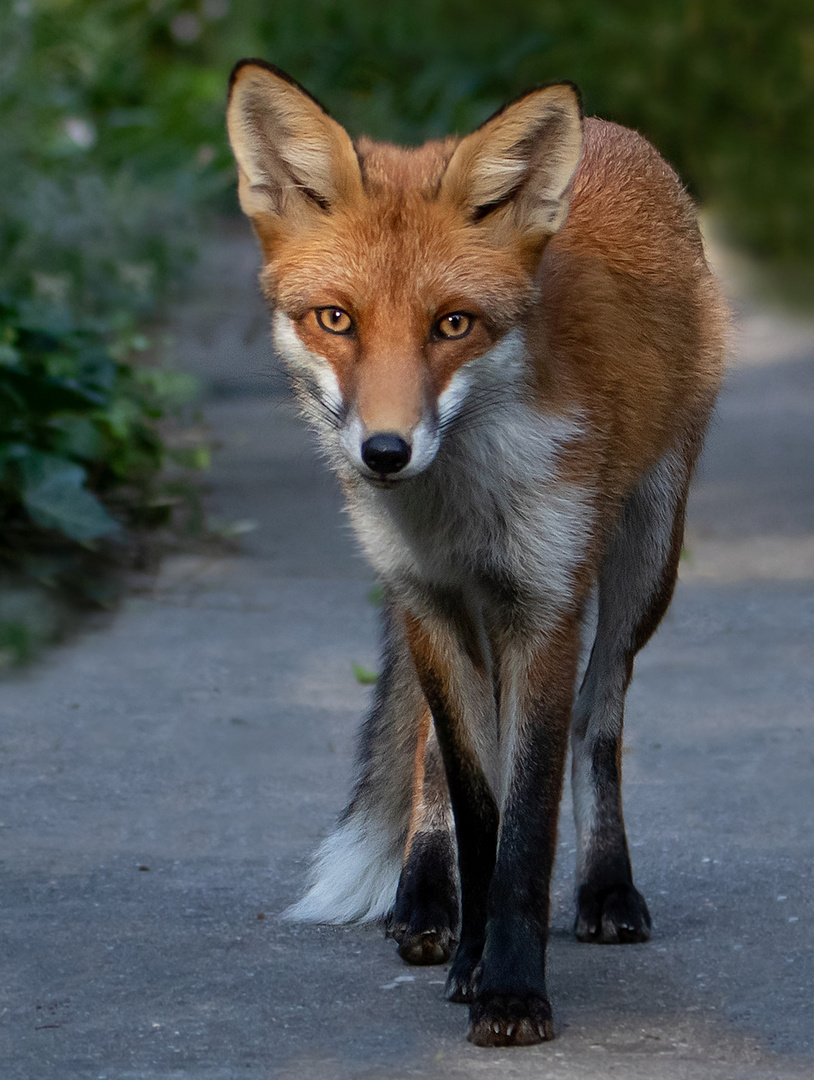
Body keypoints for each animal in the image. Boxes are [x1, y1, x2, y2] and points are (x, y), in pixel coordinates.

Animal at [226, 61, 721, 1045]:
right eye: (335, 319)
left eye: (453, 325)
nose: (384, 453)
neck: (462, 503)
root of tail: (613, 130)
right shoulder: (432, 598)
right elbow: (473, 795)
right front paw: (472, 959)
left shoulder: (546, 608)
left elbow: (526, 828)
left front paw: (512, 991)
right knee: (426, 750)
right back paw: (425, 900)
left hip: (647, 560)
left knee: (600, 718)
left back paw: (607, 888)